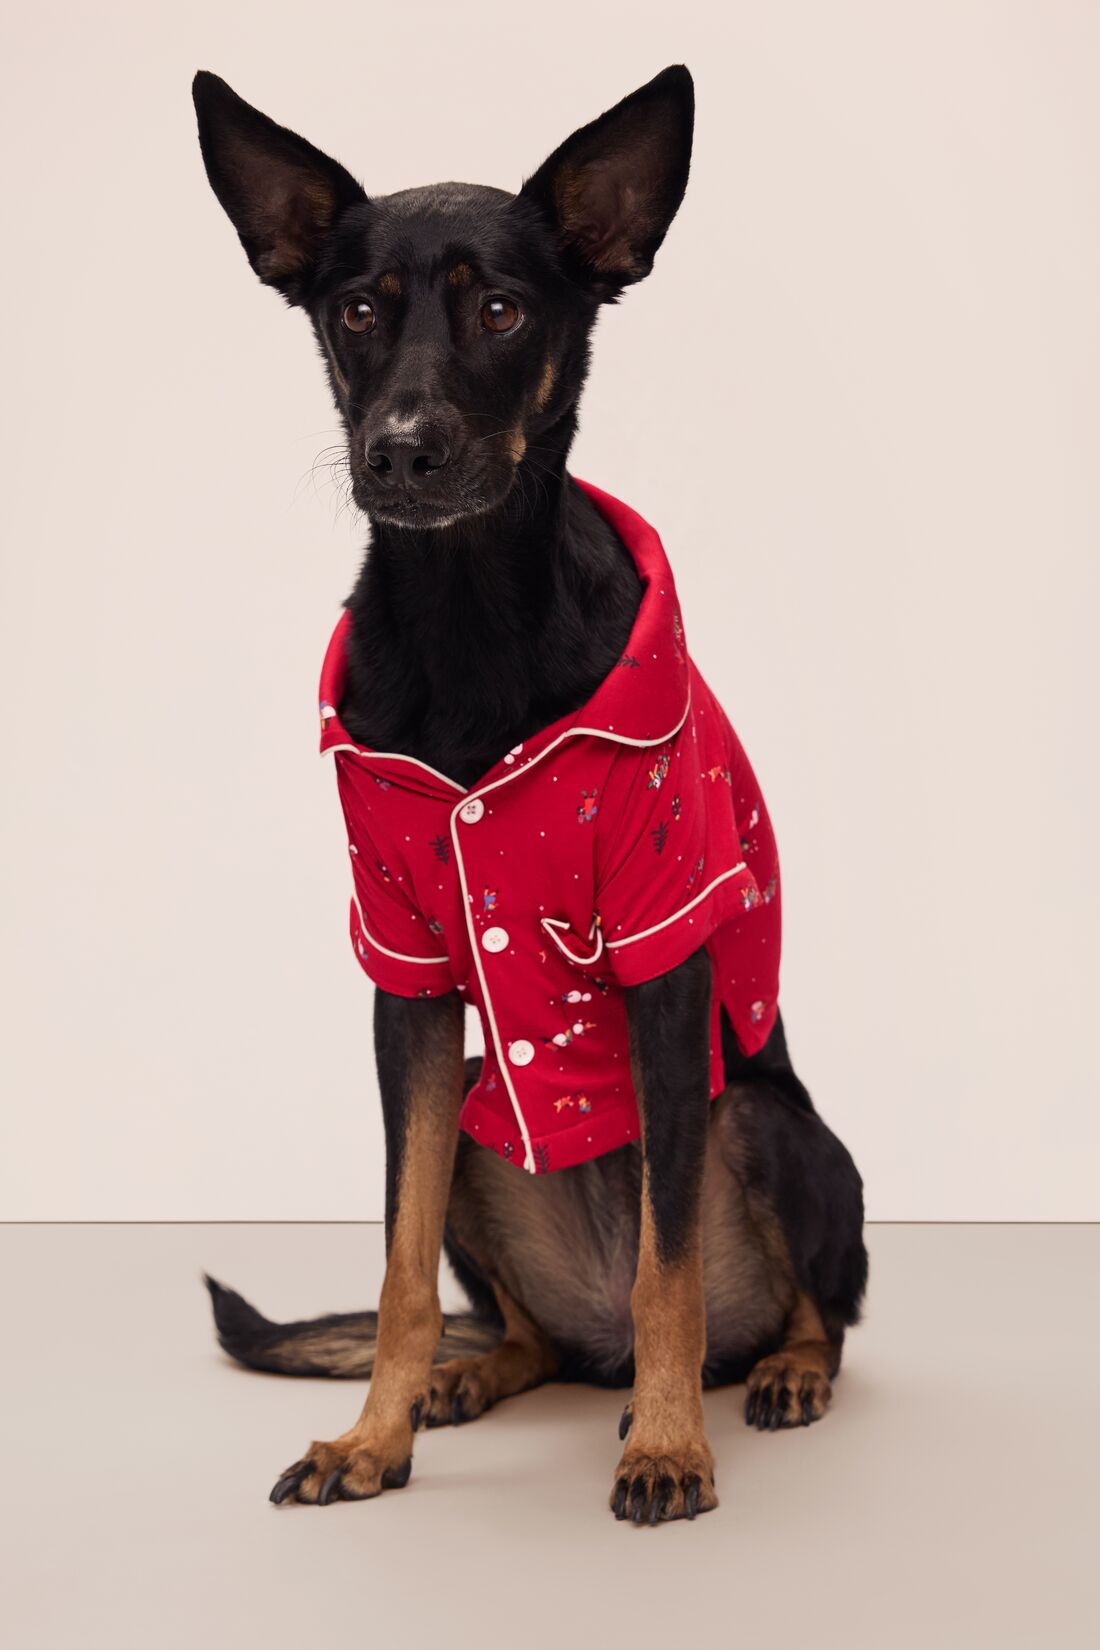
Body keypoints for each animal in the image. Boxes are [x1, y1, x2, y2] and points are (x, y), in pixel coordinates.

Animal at [195, 67, 870, 1531]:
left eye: (500, 308)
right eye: (358, 310)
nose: (401, 451)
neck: (468, 627)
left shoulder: (666, 952)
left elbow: (670, 1264)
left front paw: (668, 1447)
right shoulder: (405, 983)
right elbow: (394, 1272)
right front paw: (374, 1435)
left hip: (772, 1126)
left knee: (801, 1308)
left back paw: (770, 1373)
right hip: (468, 1124)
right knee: (533, 1333)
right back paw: (475, 1375)